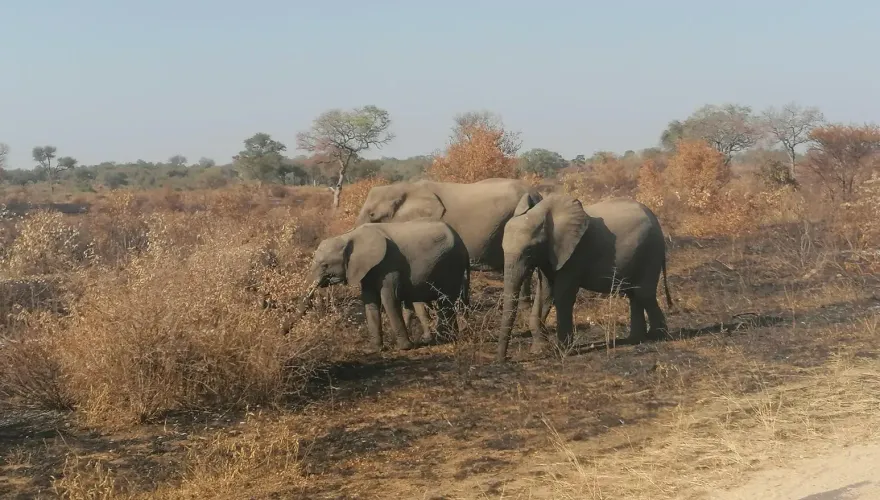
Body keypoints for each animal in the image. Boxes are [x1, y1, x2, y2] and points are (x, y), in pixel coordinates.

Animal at [309, 220, 470, 353]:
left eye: (325, 265)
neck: (349, 236)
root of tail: (462, 242)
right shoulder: (368, 269)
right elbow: (370, 302)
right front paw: (372, 350)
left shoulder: (389, 265)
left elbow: (389, 300)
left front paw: (404, 348)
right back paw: (448, 337)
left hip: (450, 264)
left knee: (446, 300)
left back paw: (444, 338)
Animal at [495, 193, 673, 362]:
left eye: (529, 250)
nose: (505, 359)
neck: (542, 213)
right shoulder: (550, 255)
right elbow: (545, 294)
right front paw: (540, 350)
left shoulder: (574, 255)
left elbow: (562, 296)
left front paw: (562, 351)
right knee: (634, 293)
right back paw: (635, 339)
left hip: (650, 251)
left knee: (644, 294)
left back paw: (657, 337)